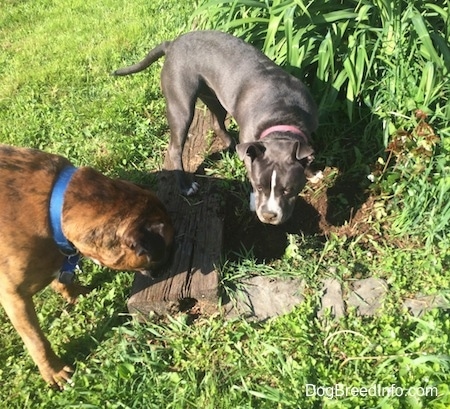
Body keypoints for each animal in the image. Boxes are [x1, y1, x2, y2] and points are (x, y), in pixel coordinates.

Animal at [0, 145, 174, 388]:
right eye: (167, 247)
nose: (172, 261)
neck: (55, 209)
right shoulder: (14, 297)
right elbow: (36, 339)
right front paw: (54, 371)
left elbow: (61, 280)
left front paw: (75, 293)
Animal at [116, 30, 320, 225]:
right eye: (259, 186)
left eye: (288, 190)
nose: (269, 215)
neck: (282, 114)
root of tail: (172, 43)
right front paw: (253, 200)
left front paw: (312, 173)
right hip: (181, 106)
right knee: (175, 147)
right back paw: (186, 186)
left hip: (214, 97)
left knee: (217, 123)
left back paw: (231, 144)